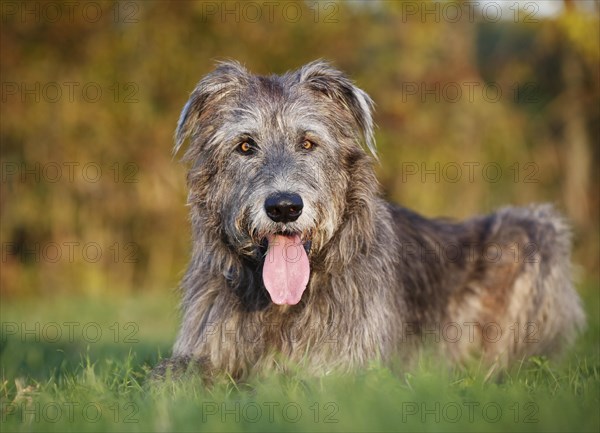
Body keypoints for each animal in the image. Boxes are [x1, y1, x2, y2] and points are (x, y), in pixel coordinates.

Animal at [157, 60, 584, 378]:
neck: (281, 303)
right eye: (245, 146)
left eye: (308, 142)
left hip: (533, 230)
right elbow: (173, 375)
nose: (284, 207)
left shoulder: (345, 366)